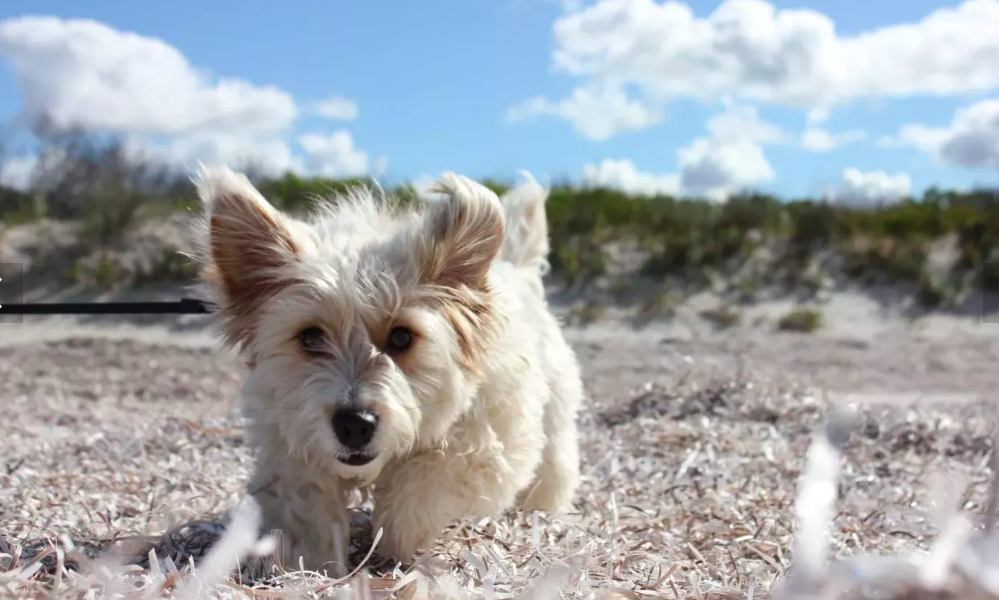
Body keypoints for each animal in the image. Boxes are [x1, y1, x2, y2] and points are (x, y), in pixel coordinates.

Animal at [186, 166, 584, 568]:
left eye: (402, 337)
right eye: (310, 337)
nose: (354, 425)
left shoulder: (491, 439)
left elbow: (430, 479)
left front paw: (396, 539)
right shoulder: (289, 440)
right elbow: (306, 499)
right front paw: (314, 560)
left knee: (556, 460)